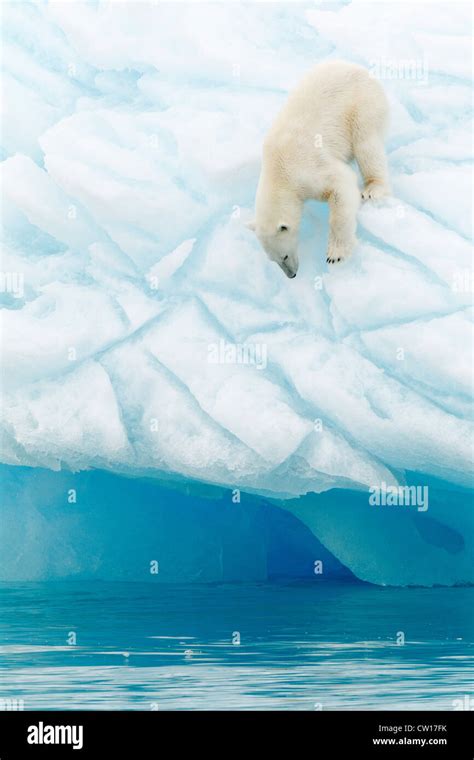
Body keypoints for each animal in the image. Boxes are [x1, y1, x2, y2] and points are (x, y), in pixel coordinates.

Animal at [246, 60, 390, 278]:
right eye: (273, 260)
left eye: (284, 256)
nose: (292, 275)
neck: (277, 171)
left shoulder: (307, 168)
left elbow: (342, 185)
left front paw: (336, 254)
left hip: (363, 105)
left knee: (366, 144)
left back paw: (373, 188)